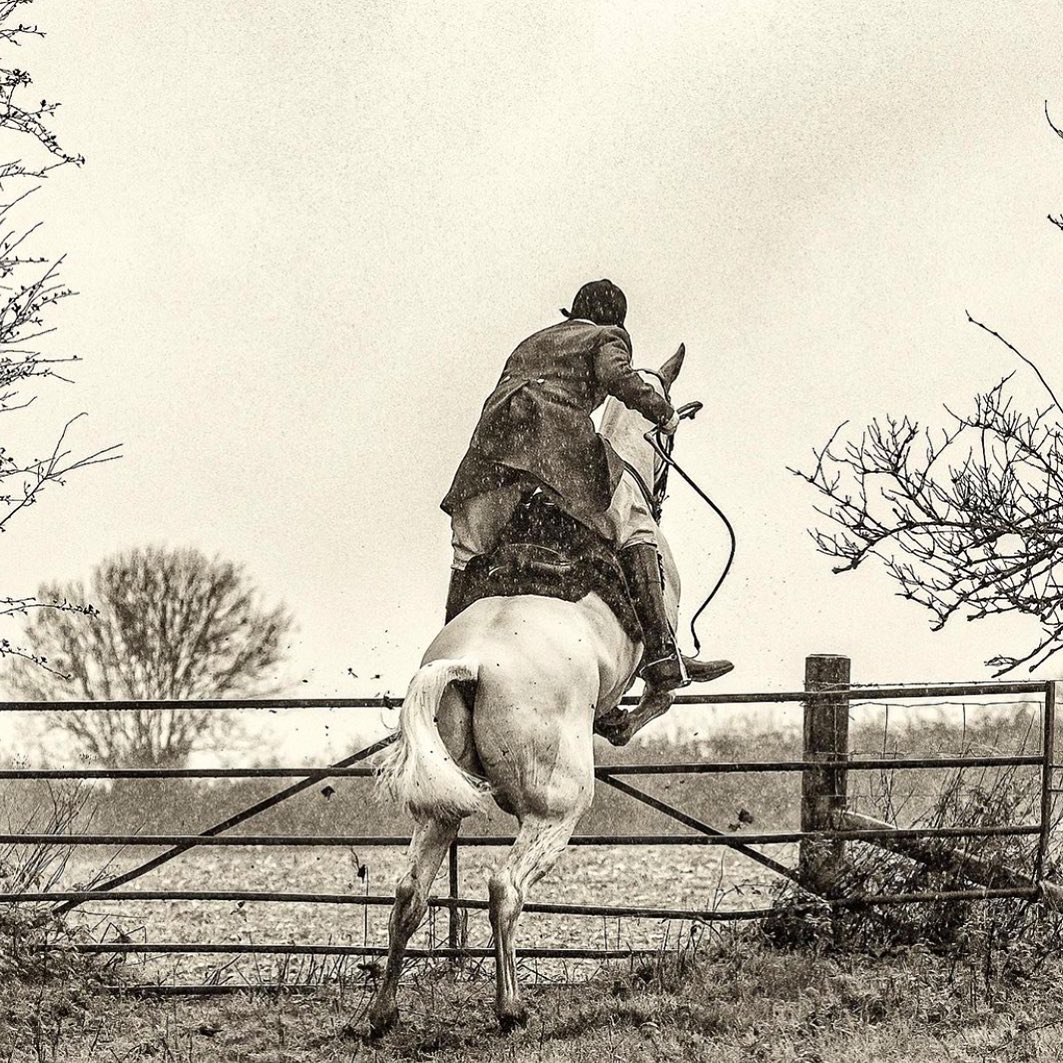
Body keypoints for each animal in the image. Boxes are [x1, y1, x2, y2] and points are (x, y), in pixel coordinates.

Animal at [372, 346, 705, 1028]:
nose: (660, 492)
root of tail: (472, 664)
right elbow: (663, 688)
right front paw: (626, 717)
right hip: (555, 808)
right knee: (505, 888)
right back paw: (510, 1007)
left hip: (440, 806)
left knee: (410, 893)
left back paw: (383, 1013)